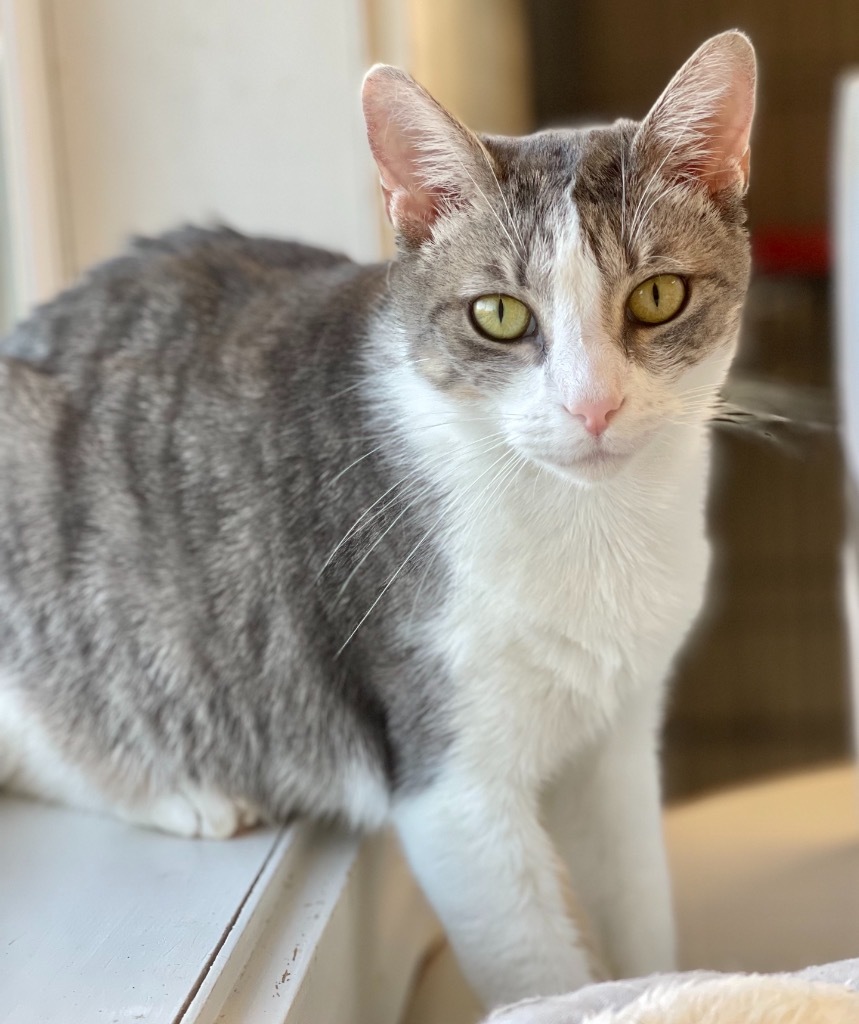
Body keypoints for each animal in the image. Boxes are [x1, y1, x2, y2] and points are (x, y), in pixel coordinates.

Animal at [0, 29, 753, 1007]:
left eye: (657, 296)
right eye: (498, 314)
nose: (591, 406)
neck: (592, 530)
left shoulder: (617, 743)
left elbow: (638, 909)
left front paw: (663, 987)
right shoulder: (447, 777)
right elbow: (536, 971)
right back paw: (183, 791)